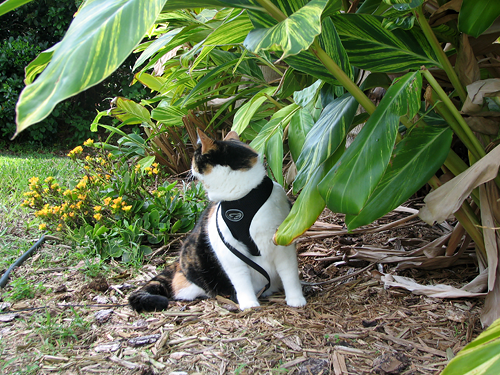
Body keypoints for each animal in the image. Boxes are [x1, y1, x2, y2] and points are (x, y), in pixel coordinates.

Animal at [128, 129, 304, 312]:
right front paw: (249, 303)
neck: (242, 198)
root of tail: (178, 264)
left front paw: (296, 299)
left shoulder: (282, 240)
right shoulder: (228, 250)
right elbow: (241, 279)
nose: (190, 168)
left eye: (195, 156)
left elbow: (290, 273)